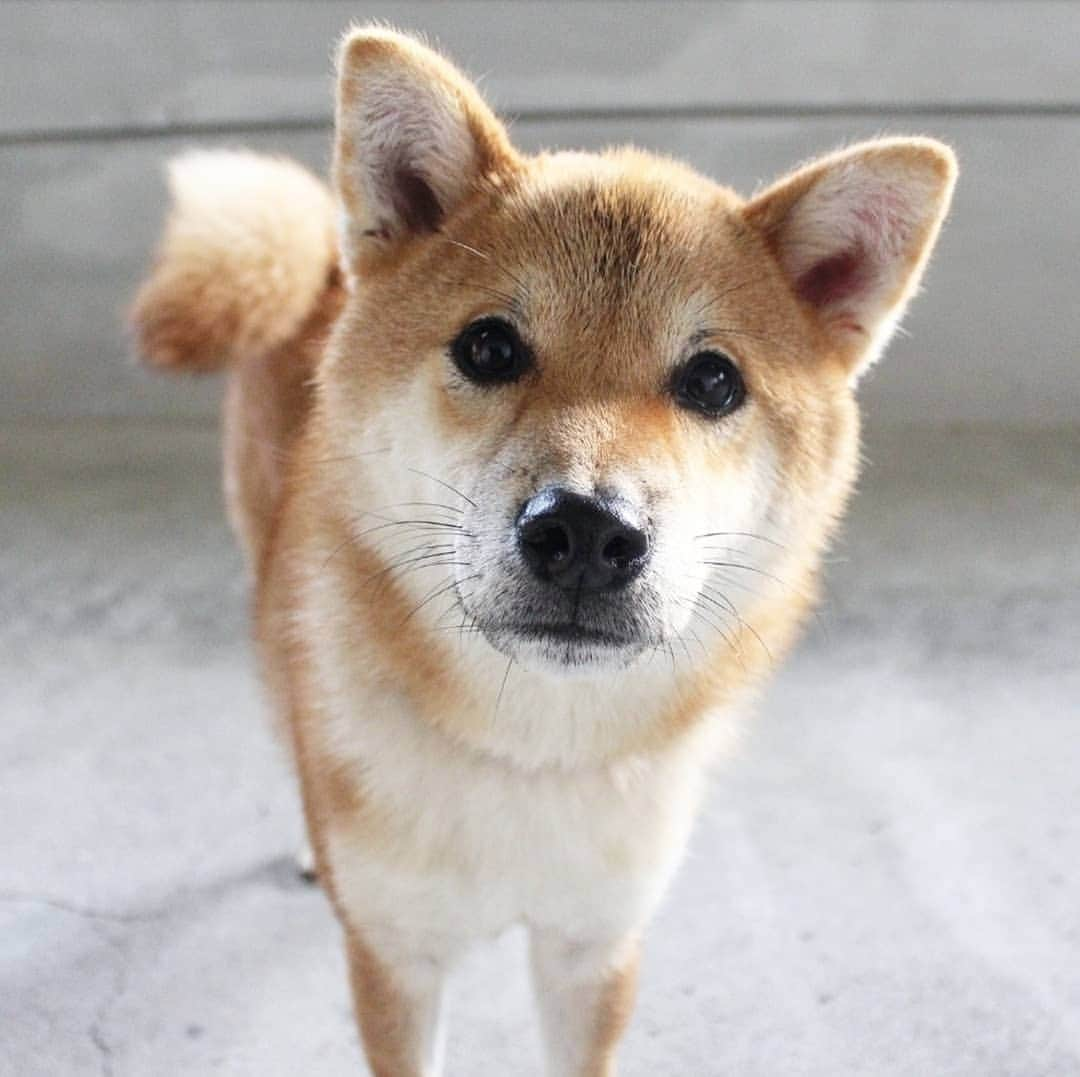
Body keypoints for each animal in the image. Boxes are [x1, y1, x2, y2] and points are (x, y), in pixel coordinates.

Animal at [132, 25, 954, 1075]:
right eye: (489, 348)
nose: (587, 533)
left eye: (713, 380)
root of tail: (326, 269)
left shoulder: (592, 952)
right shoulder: (396, 959)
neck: (530, 751)